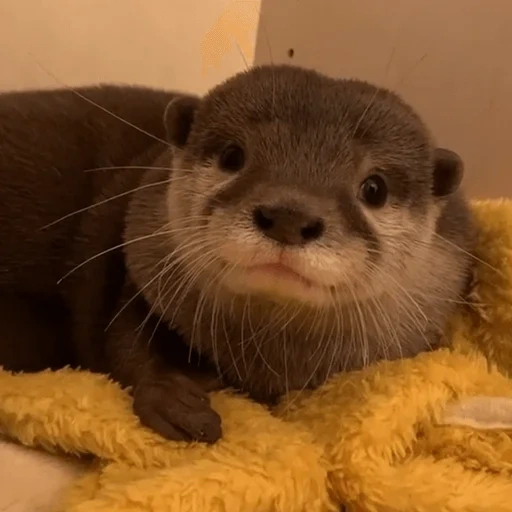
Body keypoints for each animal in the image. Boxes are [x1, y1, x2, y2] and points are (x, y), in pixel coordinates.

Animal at [0, 66, 474, 444]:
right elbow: (122, 337)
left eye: (374, 188)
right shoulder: (140, 258)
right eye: (233, 156)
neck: (265, 361)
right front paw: (174, 397)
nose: (289, 215)